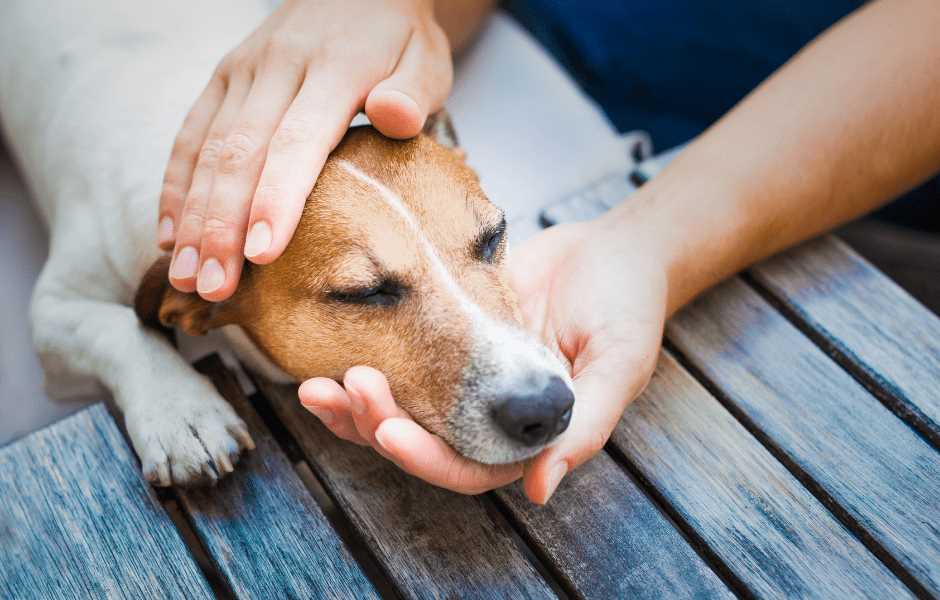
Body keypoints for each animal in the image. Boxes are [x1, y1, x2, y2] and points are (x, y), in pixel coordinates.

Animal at [0, 0, 572, 488]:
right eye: (363, 293)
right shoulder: (55, 310)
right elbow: (118, 328)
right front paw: (181, 411)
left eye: (493, 237)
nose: (546, 407)